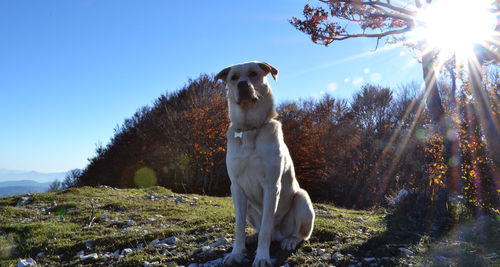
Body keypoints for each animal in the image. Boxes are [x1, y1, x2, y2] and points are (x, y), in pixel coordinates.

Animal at [216, 61, 316, 266]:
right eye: (233, 78)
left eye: (253, 74)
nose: (242, 85)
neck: (249, 129)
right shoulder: (236, 188)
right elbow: (239, 228)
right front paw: (236, 252)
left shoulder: (271, 185)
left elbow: (266, 228)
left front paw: (262, 257)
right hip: (248, 206)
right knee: (257, 229)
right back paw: (251, 237)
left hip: (302, 198)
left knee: (299, 234)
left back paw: (289, 240)